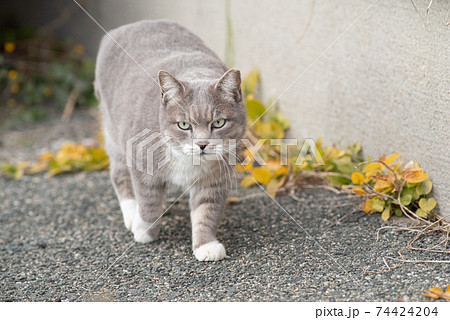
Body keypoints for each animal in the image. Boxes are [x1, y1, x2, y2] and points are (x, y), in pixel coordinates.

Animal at [94, 20, 246, 262]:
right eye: (184, 125)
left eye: (219, 123)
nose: (202, 144)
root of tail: (126, 27)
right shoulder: (141, 165)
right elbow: (148, 202)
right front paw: (145, 231)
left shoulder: (214, 179)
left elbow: (206, 212)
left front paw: (206, 245)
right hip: (113, 132)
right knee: (120, 176)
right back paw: (132, 212)